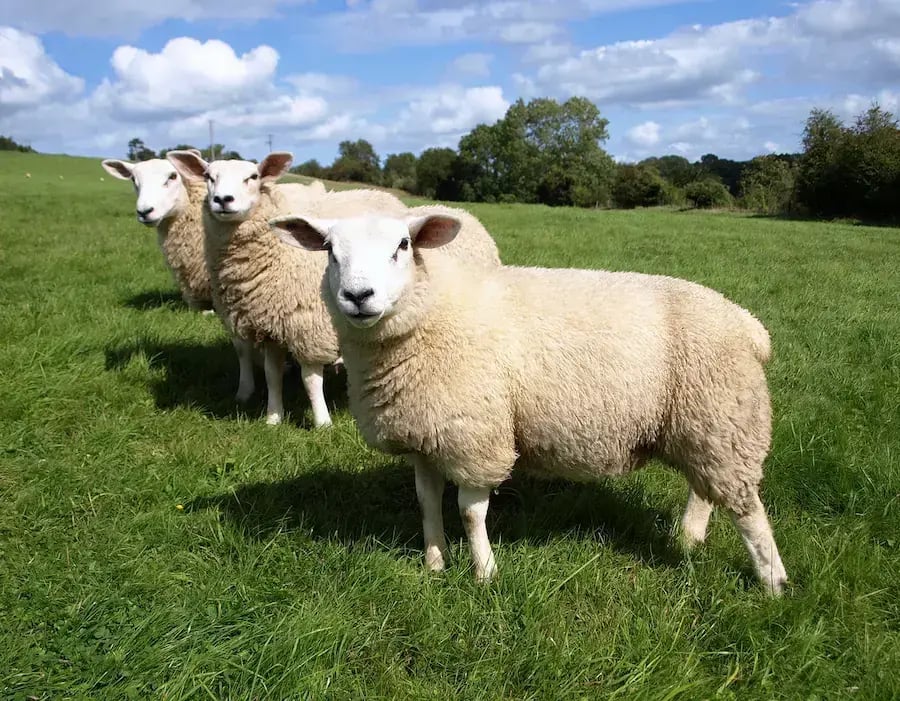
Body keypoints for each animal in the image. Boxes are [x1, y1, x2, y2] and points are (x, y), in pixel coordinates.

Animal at [165, 149, 408, 426]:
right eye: (208, 176)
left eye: (253, 177)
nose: (223, 200)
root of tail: (381, 194)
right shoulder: (269, 328)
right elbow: (272, 375)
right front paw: (273, 417)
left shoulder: (308, 327)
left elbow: (310, 380)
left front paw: (322, 422)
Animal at [272, 211, 788, 592]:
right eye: (330, 251)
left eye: (402, 245)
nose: (358, 295)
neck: (432, 313)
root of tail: (749, 324)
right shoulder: (426, 434)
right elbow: (426, 500)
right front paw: (435, 562)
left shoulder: (475, 435)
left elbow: (470, 511)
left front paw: (484, 572)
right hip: (704, 424)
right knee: (705, 490)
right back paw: (689, 538)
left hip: (724, 417)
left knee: (747, 509)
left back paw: (772, 582)